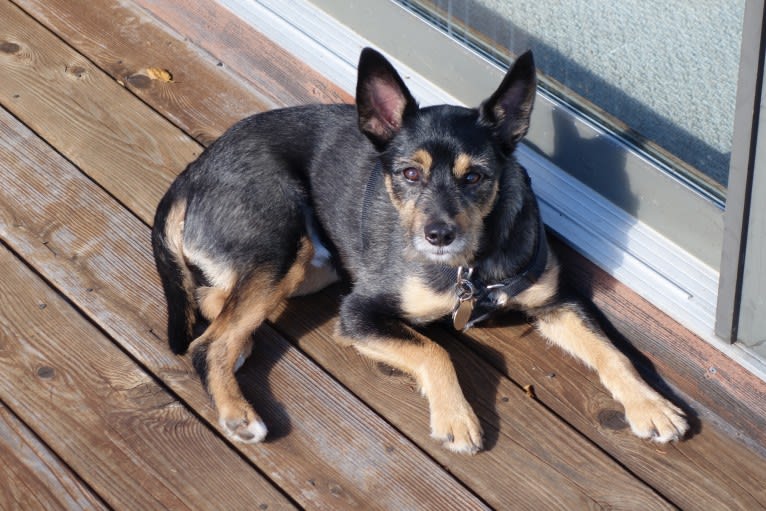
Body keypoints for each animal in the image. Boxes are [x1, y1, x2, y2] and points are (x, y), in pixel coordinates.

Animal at [153, 48, 692, 454]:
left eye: (475, 177)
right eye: (409, 174)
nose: (438, 235)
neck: (472, 266)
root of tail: (191, 173)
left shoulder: (556, 303)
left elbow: (611, 352)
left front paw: (651, 405)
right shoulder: (359, 315)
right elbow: (435, 350)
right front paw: (456, 418)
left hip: (309, 266)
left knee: (215, 302)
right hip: (284, 247)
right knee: (207, 339)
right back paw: (238, 411)